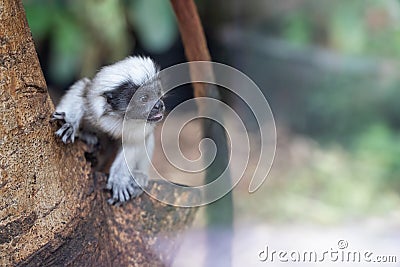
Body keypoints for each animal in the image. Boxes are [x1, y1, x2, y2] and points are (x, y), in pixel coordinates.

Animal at [51, 56, 164, 205]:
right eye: (144, 98)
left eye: (158, 94)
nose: (159, 105)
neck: (118, 116)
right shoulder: (92, 103)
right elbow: (81, 90)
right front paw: (70, 124)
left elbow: (133, 144)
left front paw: (119, 180)